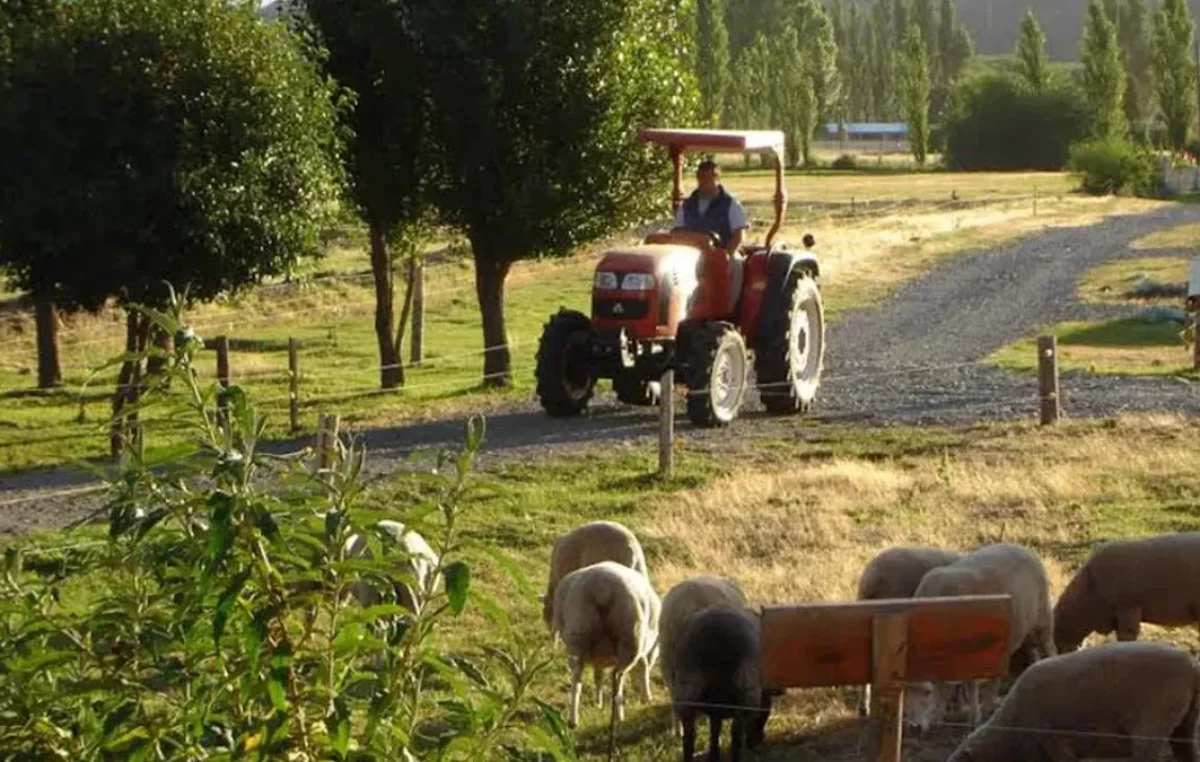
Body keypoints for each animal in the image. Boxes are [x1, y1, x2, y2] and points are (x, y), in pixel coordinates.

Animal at [549, 561, 662, 729]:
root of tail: (602, 587)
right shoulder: (641, 650)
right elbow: (643, 668)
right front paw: (647, 697)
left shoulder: (598, 657)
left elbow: (598, 675)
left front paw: (598, 702)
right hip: (629, 637)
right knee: (618, 679)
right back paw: (618, 717)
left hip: (578, 634)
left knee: (576, 681)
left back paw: (573, 720)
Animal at [667, 607, 777, 762]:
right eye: (766, 714)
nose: (758, 742)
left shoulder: (715, 709)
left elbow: (715, 731)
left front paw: (714, 756)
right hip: (746, 691)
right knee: (736, 732)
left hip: (686, 689)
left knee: (689, 737)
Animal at [902, 542, 1056, 734]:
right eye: (905, 692)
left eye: (927, 692)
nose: (913, 727)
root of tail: (1022, 547)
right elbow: (945, 686)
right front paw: (938, 717)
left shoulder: (971, 651)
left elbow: (970, 685)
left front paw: (973, 719)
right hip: (1020, 630)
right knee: (1027, 654)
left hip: (1043, 618)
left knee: (1050, 648)